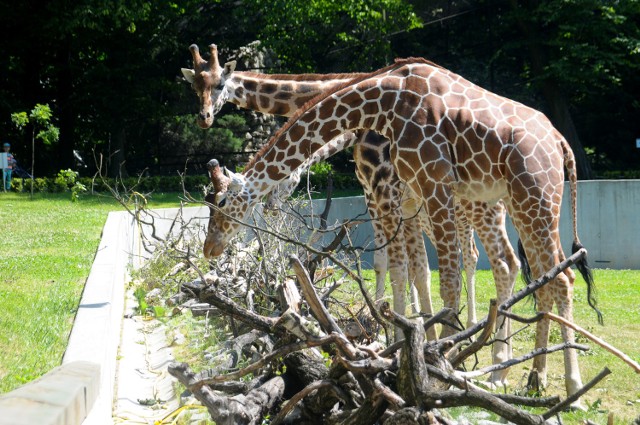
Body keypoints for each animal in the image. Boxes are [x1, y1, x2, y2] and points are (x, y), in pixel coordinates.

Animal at [195, 54, 600, 400]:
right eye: (195, 83)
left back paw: (564, 383)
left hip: (530, 199)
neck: (380, 103)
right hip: (518, 203)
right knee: (529, 270)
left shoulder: (417, 187)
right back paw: (522, 374)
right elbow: (409, 270)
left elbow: (431, 276)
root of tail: (560, 143)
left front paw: (436, 358)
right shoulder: (408, 195)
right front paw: (407, 341)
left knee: (553, 277)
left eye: (222, 204)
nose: (209, 249)